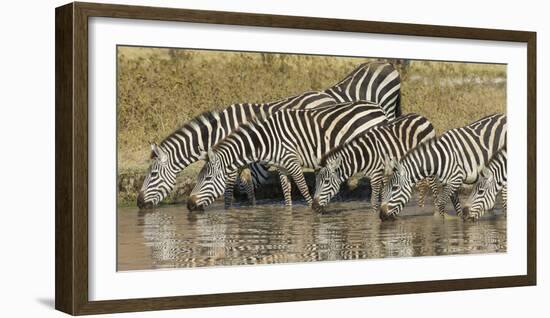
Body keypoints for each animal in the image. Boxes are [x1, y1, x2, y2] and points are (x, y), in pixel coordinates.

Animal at [137, 90, 336, 209]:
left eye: (153, 175)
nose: (138, 203)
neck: (217, 132)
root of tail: (326, 96)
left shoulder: (231, 161)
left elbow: (228, 191)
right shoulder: (237, 160)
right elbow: (247, 187)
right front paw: (251, 208)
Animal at [188, 102, 390, 211]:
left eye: (207, 178)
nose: (189, 205)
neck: (266, 141)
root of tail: (377, 108)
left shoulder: (292, 161)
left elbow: (302, 188)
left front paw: (309, 209)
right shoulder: (282, 166)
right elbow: (286, 191)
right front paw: (288, 213)